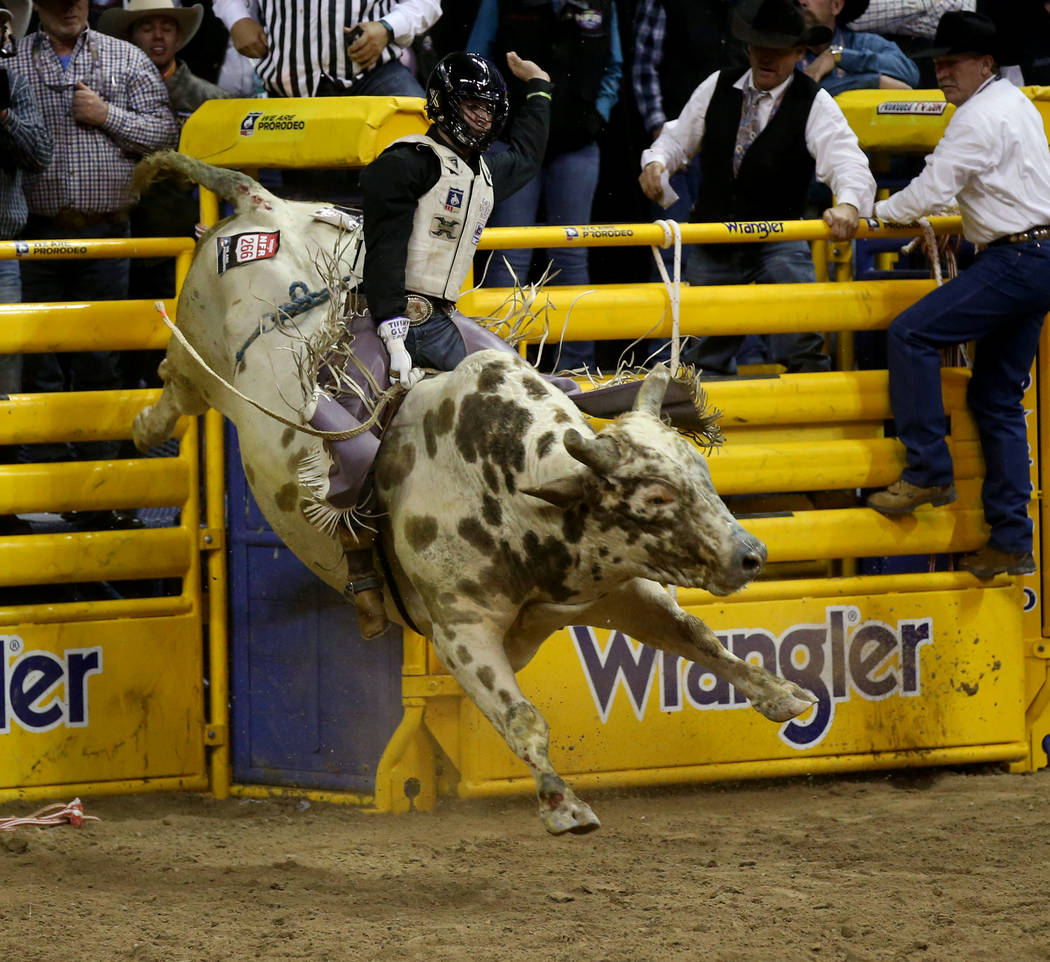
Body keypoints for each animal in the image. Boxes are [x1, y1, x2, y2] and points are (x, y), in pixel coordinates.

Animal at [133, 150, 818, 835]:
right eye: (654, 498)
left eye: (702, 475)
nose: (750, 555)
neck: (516, 493)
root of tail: (262, 204)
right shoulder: (461, 633)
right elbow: (521, 718)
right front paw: (563, 805)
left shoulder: (614, 589)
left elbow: (695, 635)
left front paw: (785, 695)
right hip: (197, 350)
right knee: (174, 378)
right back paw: (145, 428)